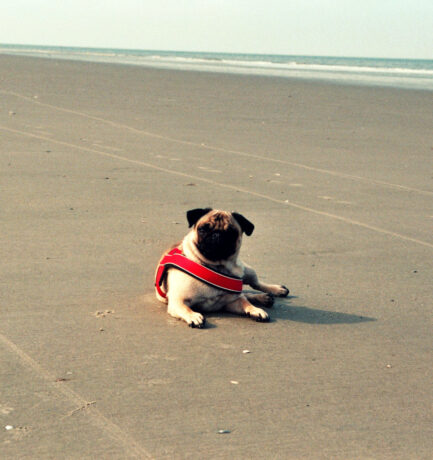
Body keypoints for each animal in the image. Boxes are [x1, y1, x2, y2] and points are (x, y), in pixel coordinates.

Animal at [154, 208, 288, 328]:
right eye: (202, 229)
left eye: (231, 232)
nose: (217, 235)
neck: (216, 267)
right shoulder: (178, 301)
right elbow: (186, 309)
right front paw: (193, 316)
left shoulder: (233, 301)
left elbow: (246, 303)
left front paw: (255, 310)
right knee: (246, 293)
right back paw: (263, 298)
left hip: (248, 271)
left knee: (255, 285)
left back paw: (275, 291)